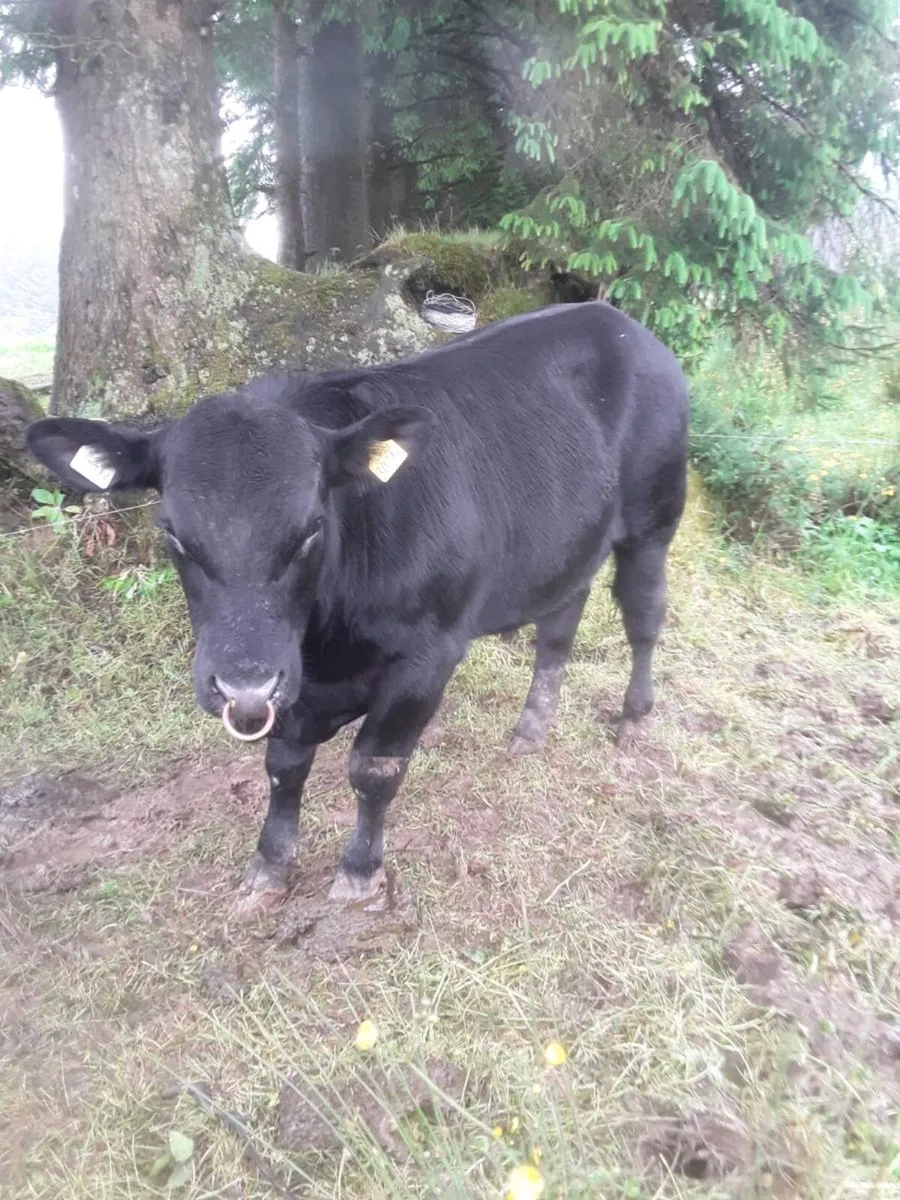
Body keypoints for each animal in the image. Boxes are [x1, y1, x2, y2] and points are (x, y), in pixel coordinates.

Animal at [26, 302, 688, 912]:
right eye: (173, 533)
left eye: (312, 529)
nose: (242, 684)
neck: (328, 649)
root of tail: (613, 317)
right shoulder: (291, 679)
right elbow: (284, 764)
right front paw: (270, 864)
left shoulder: (427, 658)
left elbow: (374, 769)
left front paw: (360, 872)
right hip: (568, 545)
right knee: (558, 625)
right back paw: (531, 729)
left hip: (653, 522)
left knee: (644, 618)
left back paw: (634, 718)